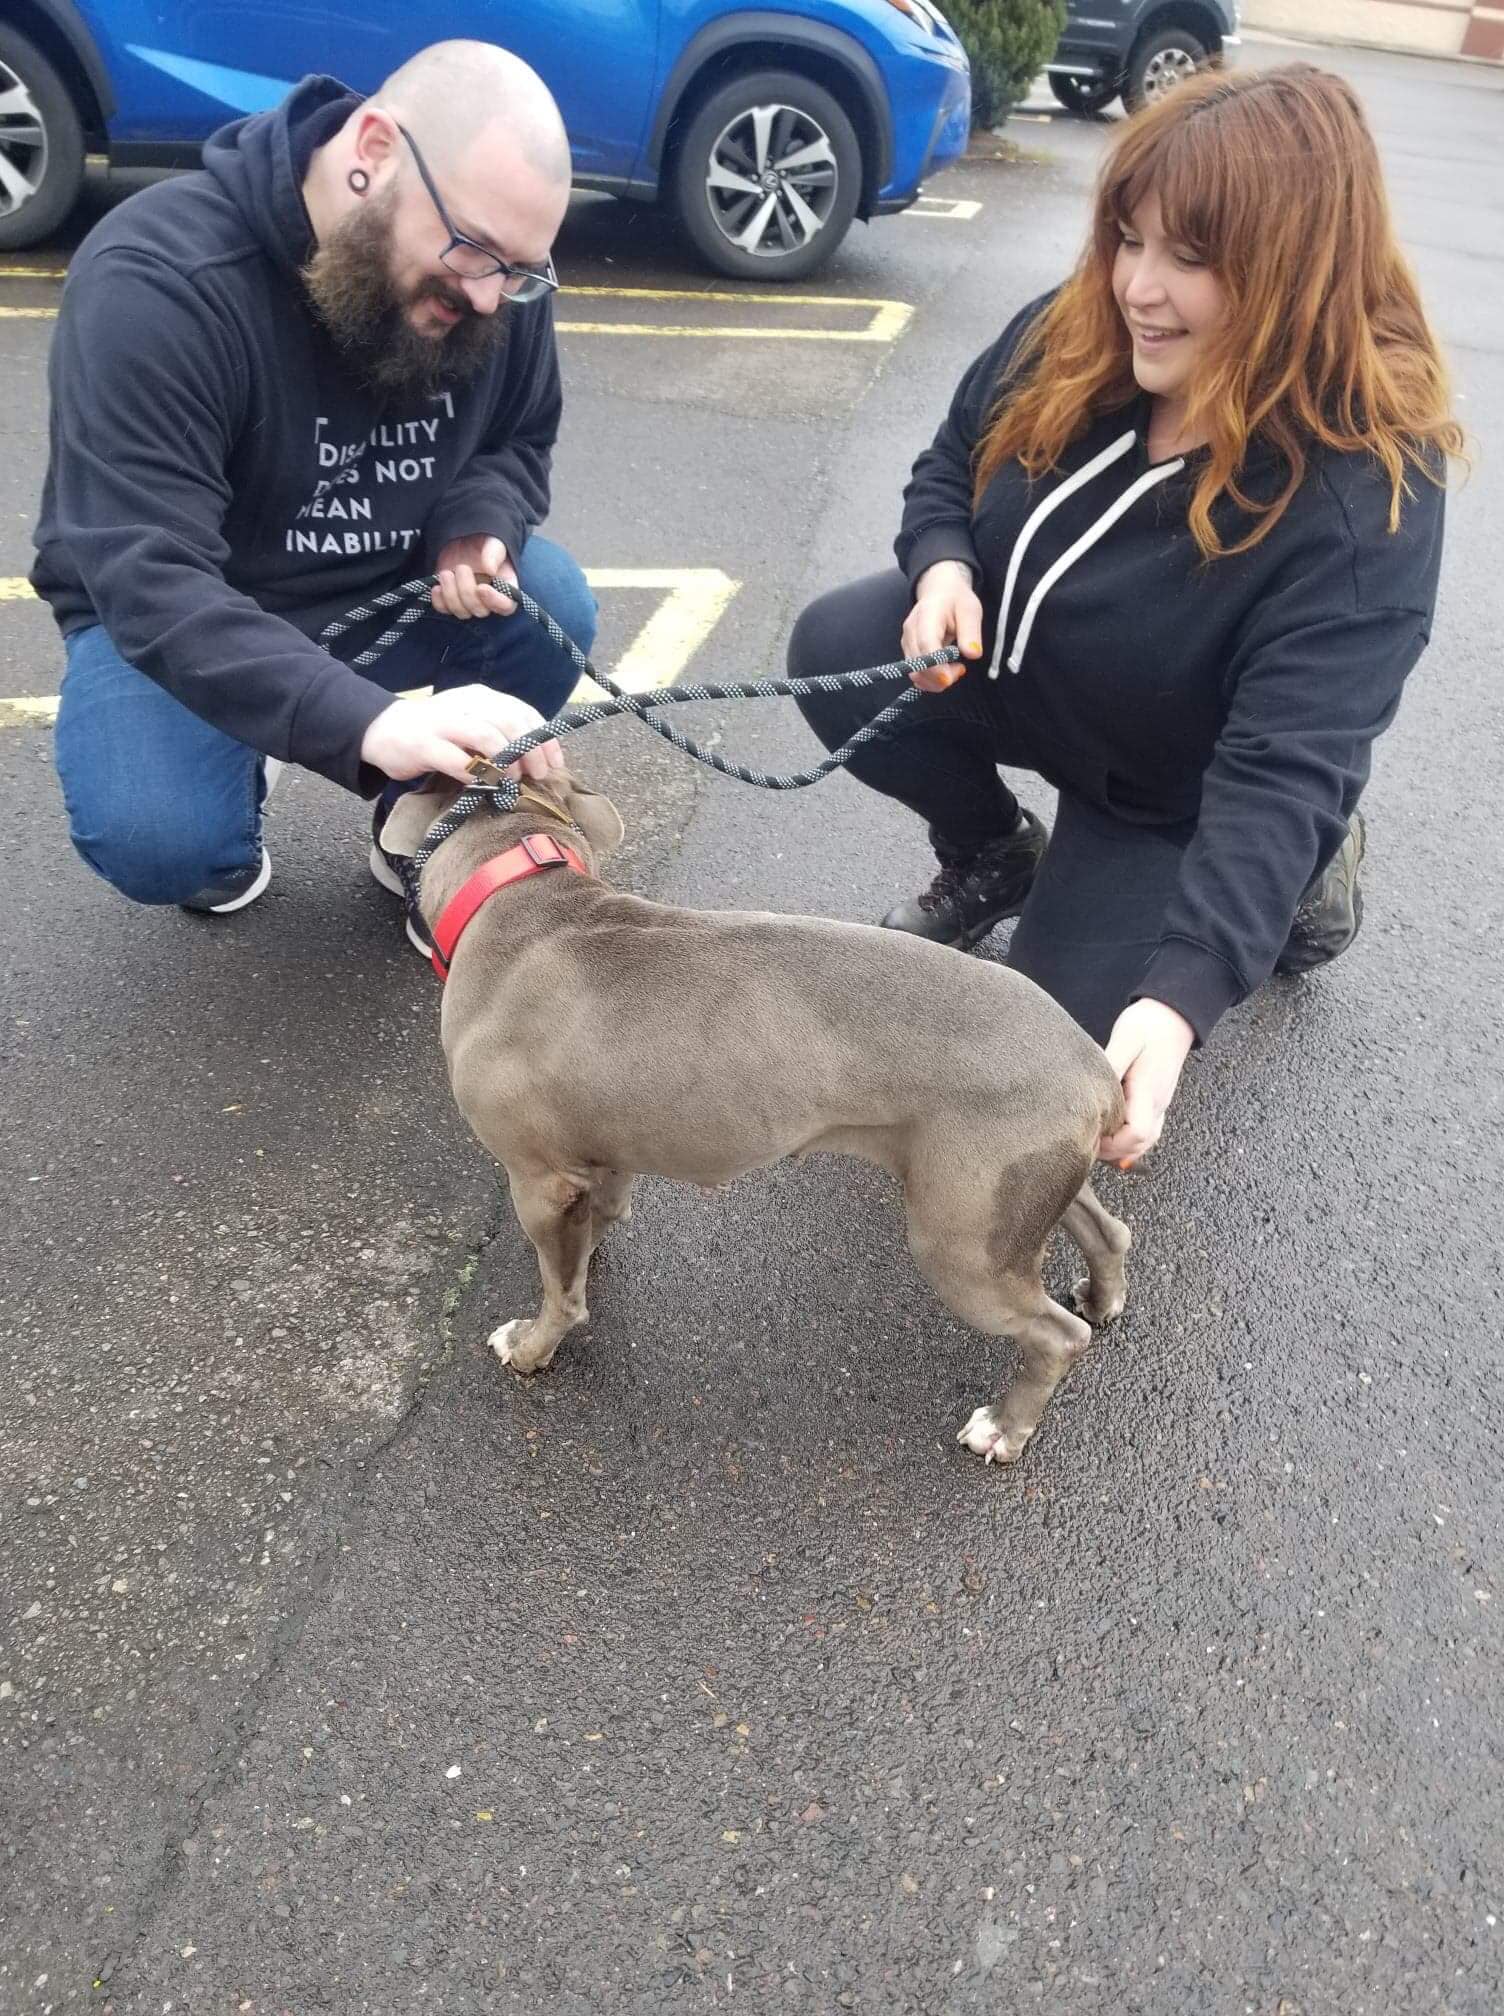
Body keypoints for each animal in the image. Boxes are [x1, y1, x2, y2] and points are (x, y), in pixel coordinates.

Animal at [381, 770, 1129, 1467]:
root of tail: (1090, 1064)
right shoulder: (603, 1155)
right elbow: (598, 1221)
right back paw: (1102, 1297)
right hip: (1022, 1188)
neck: (519, 886)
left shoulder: (538, 1179)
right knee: (1108, 1229)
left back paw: (1006, 1427)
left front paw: (533, 1346)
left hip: (962, 1243)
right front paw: (589, 1249)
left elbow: (560, 1294)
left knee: (1055, 1336)